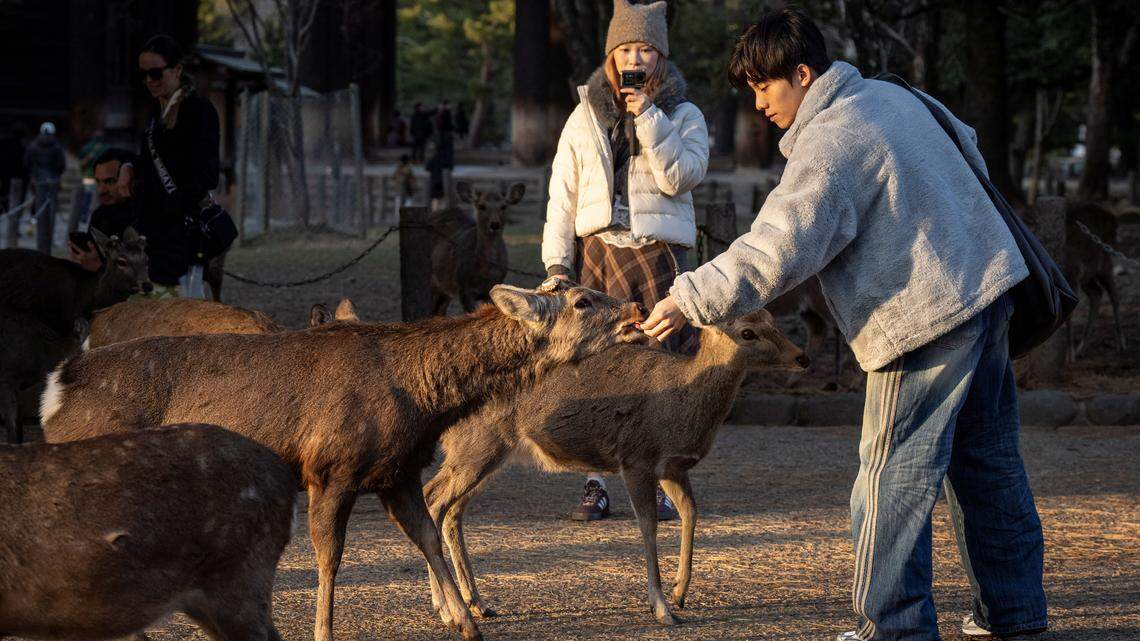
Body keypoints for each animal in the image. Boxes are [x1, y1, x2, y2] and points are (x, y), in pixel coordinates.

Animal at [41, 284, 646, 641]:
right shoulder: (330, 468)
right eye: (584, 301)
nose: (637, 309)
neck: (421, 397)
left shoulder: (397, 473)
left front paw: (468, 622)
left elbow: (427, 537)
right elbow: (329, 559)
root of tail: (54, 390)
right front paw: (324, 633)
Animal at [423, 308, 807, 627]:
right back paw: (446, 609)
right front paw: (661, 608)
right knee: (433, 498)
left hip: (486, 454)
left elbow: (690, 512)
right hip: (477, 445)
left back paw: (476, 603)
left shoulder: (672, 466)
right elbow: (648, 526)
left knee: (452, 509)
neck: (682, 409)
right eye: (747, 333)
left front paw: (680, 592)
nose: (802, 357)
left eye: (772, 318)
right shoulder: (637, 458)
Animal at [430, 181, 526, 315]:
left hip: (445, 288)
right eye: (481, 206)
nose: (495, 224)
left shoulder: (494, 286)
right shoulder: (464, 287)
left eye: (503, 206)